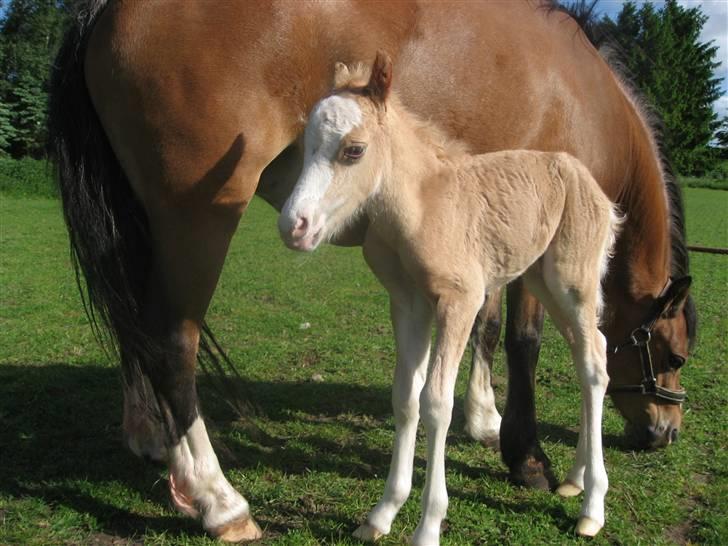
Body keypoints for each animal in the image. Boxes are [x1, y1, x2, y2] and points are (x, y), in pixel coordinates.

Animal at [278, 52, 620, 544]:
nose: (294, 227)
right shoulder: (408, 303)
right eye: (305, 145)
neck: (422, 206)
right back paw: (575, 481)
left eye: (354, 150)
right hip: (542, 280)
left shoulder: (462, 301)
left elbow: (437, 402)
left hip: (574, 280)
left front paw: (427, 526)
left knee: (594, 362)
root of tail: (587, 180)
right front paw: (381, 514)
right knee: (588, 352)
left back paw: (593, 507)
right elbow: (405, 396)